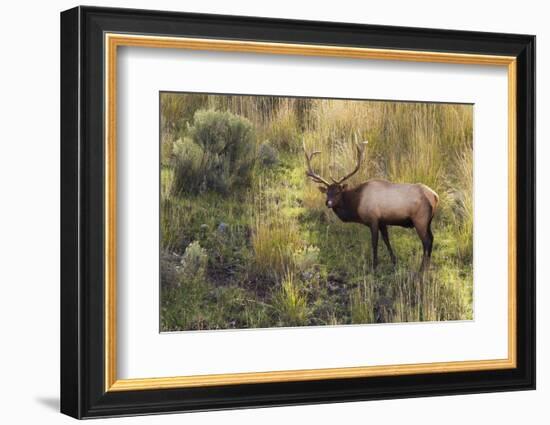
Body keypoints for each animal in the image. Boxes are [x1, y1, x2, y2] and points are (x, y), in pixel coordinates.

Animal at [306, 140, 440, 272]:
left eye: (338, 192)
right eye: (327, 192)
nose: (328, 203)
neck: (357, 205)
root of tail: (435, 196)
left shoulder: (373, 219)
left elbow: (374, 243)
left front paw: (374, 266)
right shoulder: (383, 221)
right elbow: (386, 240)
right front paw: (394, 261)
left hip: (420, 219)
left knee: (426, 241)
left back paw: (422, 269)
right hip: (428, 221)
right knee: (432, 238)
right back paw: (427, 266)